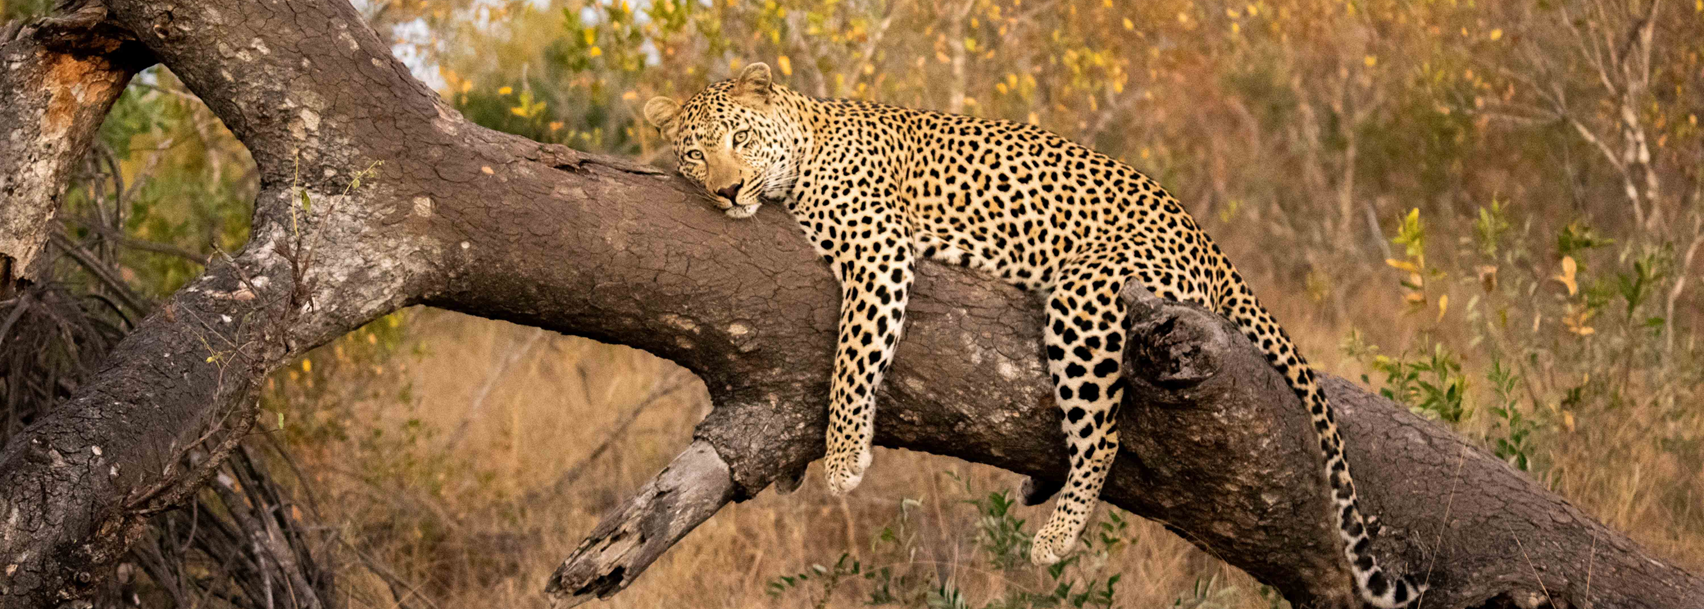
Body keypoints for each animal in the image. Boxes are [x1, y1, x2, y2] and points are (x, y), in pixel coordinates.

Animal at [644, 62, 1423, 608]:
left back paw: (1055, 535)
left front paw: (841, 459)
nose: (726, 191)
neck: (810, 135)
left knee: (1104, 434)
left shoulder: (879, 250)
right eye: (693, 156)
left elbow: (853, 359)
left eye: (739, 139)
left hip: (1088, 299)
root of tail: (1209, 242)